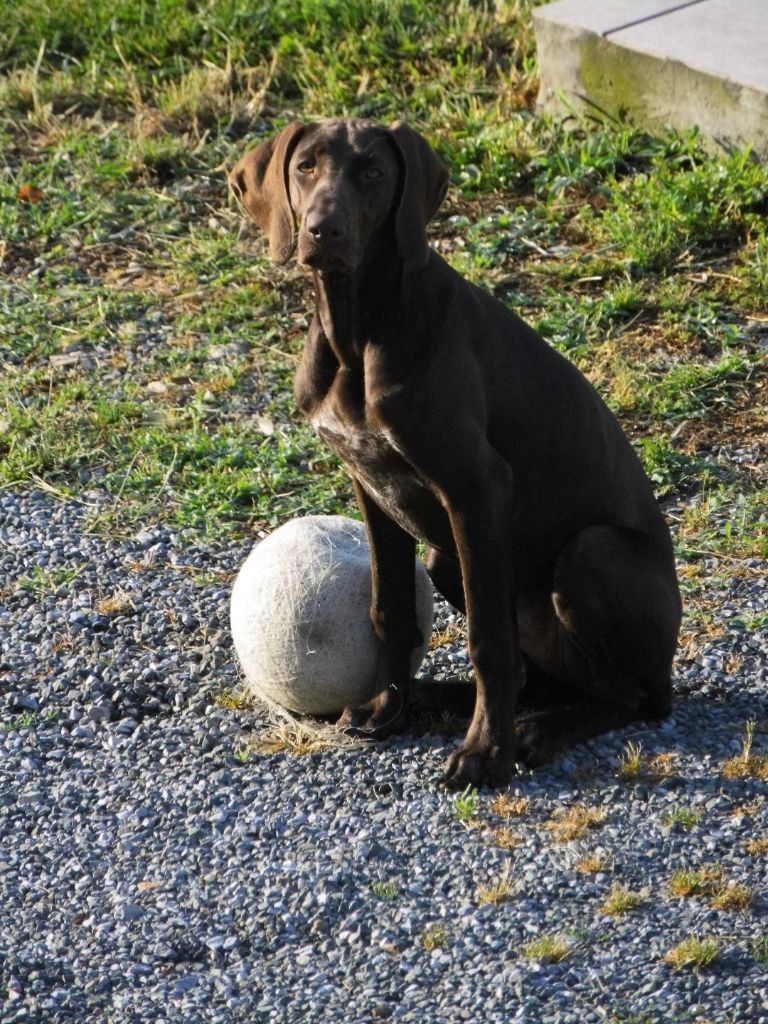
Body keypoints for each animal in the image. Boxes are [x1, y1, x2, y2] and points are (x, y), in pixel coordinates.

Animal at [230, 121, 684, 790]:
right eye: (305, 166)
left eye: (372, 173)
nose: (322, 230)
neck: (360, 329)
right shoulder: (372, 485)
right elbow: (390, 609)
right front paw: (388, 706)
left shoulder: (478, 488)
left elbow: (487, 642)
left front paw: (484, 753)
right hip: (447, 558)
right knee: (542, 678)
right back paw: (444, 698)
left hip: (590, 552)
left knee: (632, 696)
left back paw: (536, 731)